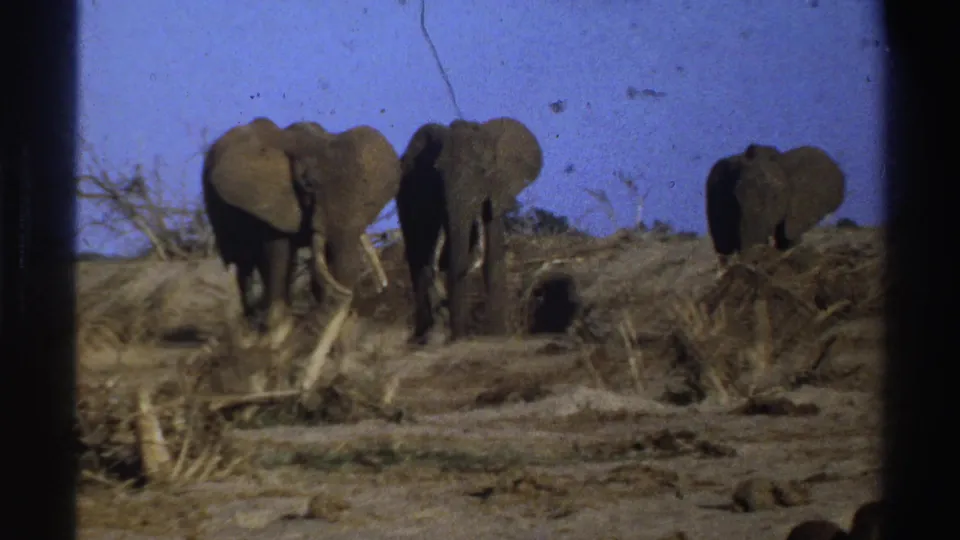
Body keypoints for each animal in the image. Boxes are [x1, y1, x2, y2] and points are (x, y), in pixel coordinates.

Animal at [202, 117, 401, 365]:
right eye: (308, 185)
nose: (382, 287)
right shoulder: (272, 203)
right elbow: (278, 254)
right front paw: (274, 344)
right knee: (241, 266)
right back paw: (251, 333)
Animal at [396, 117, 543, 344]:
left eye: (483, 172)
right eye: (438, 172)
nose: (457, 338)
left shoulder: (495, 194)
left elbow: (494, 258)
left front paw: (498, 335)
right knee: (416, 260)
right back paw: (423, 337)